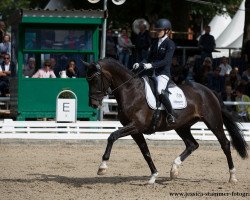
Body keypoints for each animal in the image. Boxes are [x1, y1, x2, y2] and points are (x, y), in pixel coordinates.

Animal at [85, 57, 247, 184]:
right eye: (87, 80)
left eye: (95, 79)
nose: (93, 104)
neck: (130, 91)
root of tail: (209, 91)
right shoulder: (135, 130)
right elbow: (145, 151)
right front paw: (153, 176)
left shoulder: (135, 125)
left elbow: (112, 136)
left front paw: (102, 167)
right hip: (182, 126)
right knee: (192, 145)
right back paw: (174, 169)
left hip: (213, 122)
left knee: (225, 144)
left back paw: (232, 176)